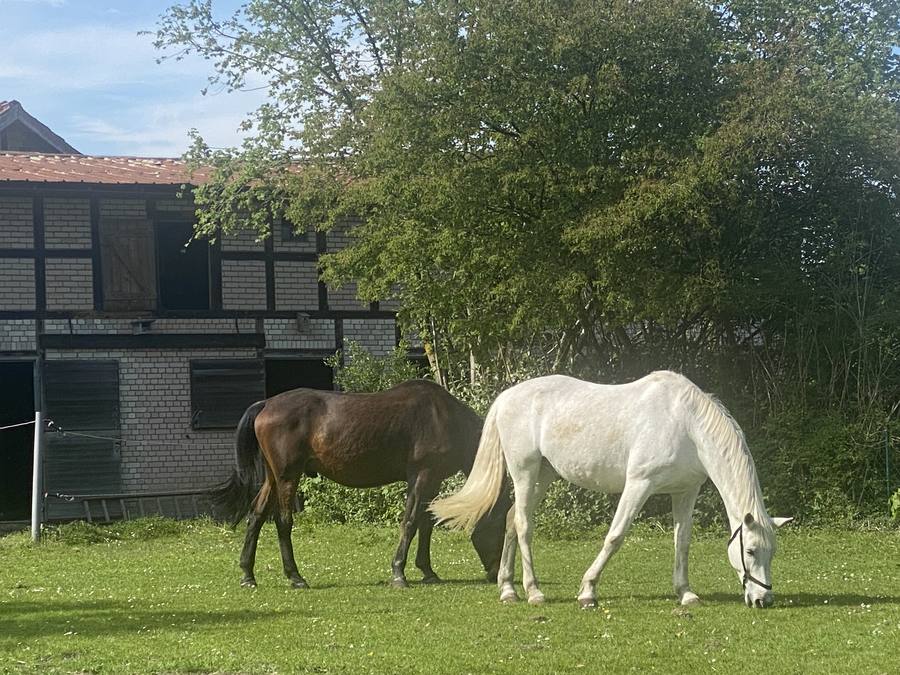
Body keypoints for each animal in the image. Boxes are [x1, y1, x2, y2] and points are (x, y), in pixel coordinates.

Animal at [211, 379, 510, 589]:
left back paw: (248, 574)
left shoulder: (433, 479)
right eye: (499, 523)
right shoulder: (422, 475)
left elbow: (426, 524)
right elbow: (411, 521)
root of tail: (266, 404)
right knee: (283, 521)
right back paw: (295, 576)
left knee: (256, 516)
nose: (496, 572)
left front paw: (427, 571)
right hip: (287, 477)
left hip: (273, 477)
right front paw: (399, 573)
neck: (444, 418)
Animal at [430, 371, 792, 609]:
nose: (763, 599)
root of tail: (507, 397)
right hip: (524, 472)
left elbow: (682, 542)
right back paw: (533, 592)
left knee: (510, 521)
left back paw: (508, 590)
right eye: (750, 551)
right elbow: (615, 536)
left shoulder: (685, 491)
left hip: (543, 476)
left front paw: (686, 594)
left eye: (772, 552)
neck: (686, 424)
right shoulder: (639, 485)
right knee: (523, 525)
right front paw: (588, 591)